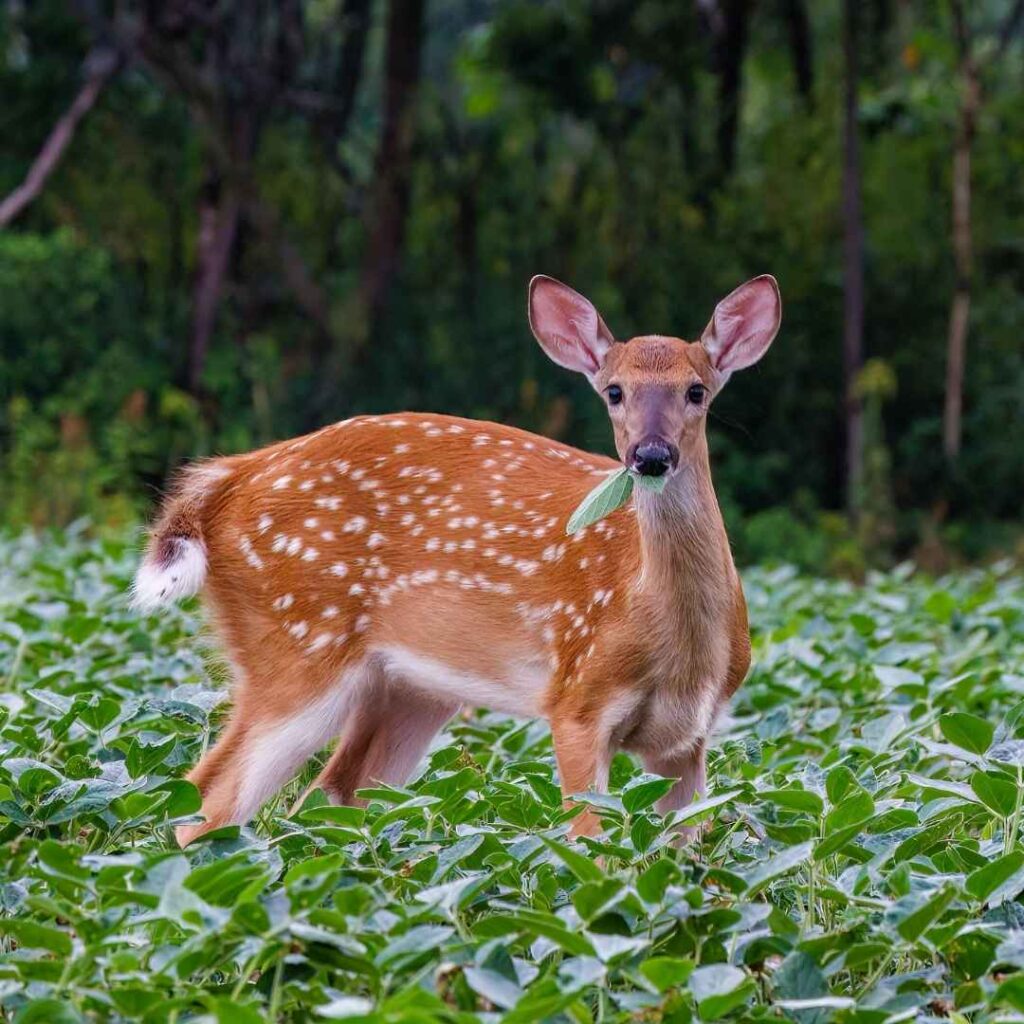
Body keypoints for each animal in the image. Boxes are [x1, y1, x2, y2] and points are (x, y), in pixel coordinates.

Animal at [133, 274, 781, 846]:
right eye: (614, 391)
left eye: (696, 391)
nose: (649, 455)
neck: (677, 643)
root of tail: (225, 482)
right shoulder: (577, 698)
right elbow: (590, 845)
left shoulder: (690, 738)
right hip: (297, 643)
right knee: (210, 797)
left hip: (408, 689)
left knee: (325, 798)